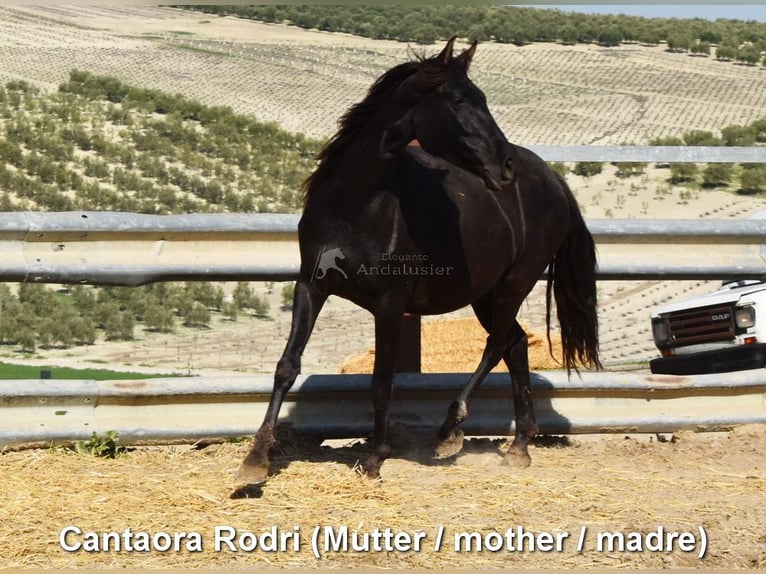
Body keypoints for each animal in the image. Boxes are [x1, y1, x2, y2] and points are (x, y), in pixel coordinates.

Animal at [237, 38, 600, 486]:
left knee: (498, 343)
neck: (354, 207)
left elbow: (381, 381)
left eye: (483, 99)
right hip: (485, 293)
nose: (505, 168)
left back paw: (450, 432)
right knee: (514, 344)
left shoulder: (390, 305)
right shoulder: (311, 286)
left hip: (515, 283)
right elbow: (287, 366)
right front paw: (255, 461)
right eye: (458, 100)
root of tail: (554, 182)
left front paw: (375, 458)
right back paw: (518, 447)